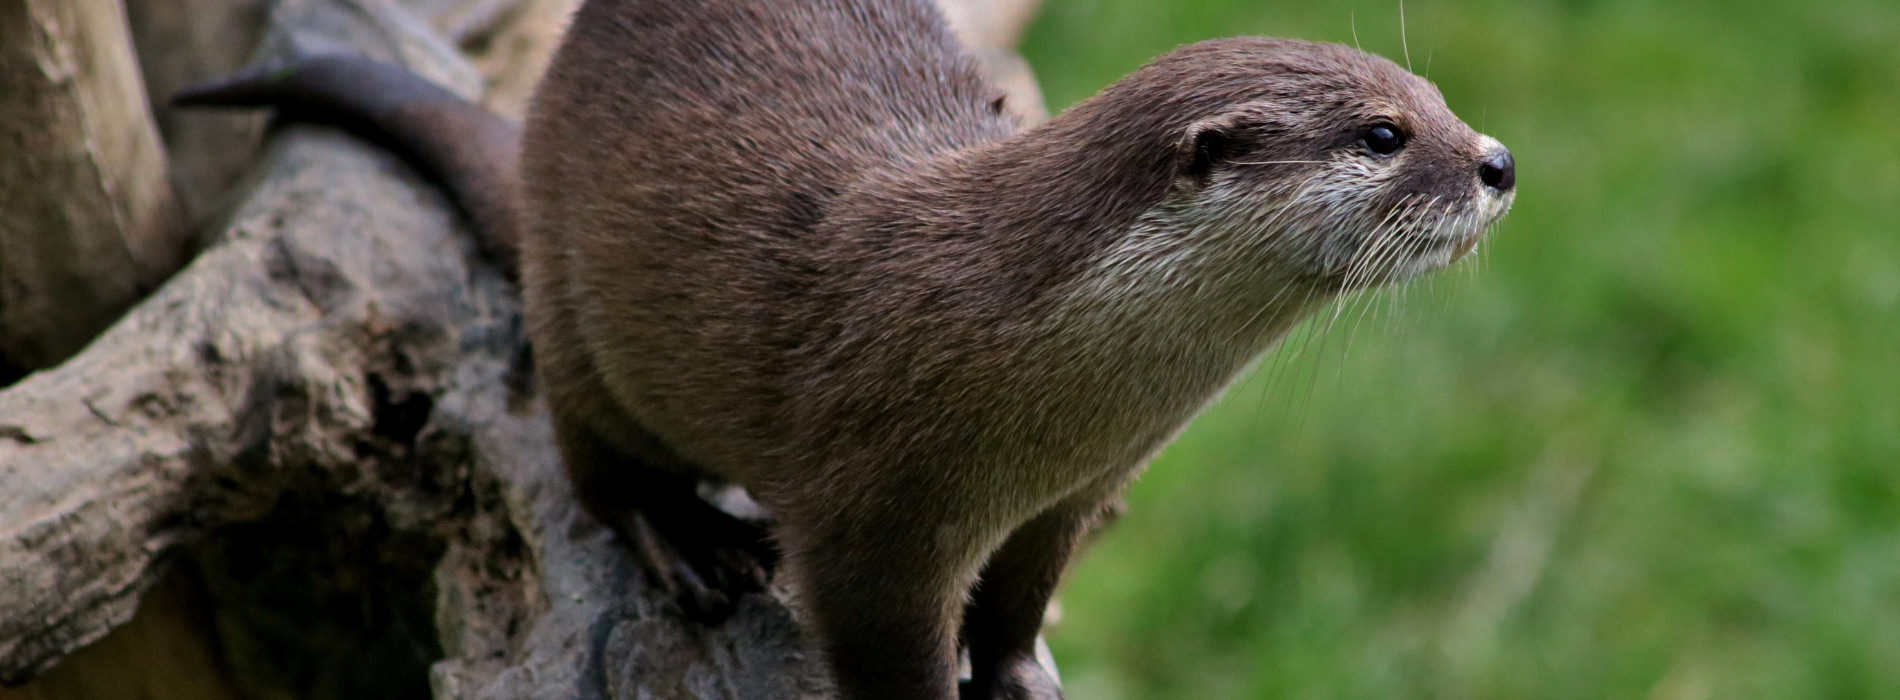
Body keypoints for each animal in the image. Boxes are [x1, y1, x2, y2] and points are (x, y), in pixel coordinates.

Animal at [179, 0, 1515, 698]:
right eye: (1383, 134)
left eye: (1438, 100)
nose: (1497, 160)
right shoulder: (876, 512)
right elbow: (885, 644)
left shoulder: (1077, 490)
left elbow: (1017, 602)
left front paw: (1022, 676)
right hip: (574, 310)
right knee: (595, 470)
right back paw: (690, 543)